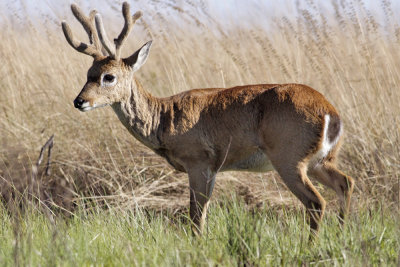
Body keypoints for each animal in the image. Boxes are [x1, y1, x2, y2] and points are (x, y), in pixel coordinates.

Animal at [61, 1, 354, 237]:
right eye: (88, 73)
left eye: (108, 77)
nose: (79, 101)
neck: (164, 119)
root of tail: (330, 112)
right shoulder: (212, 168)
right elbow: (202, 213)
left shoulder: (198, 160)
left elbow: (195, 216)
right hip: (320, 160)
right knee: (345, 183)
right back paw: (342, 236)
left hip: (289, 156)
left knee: (316, 202)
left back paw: (312, 246)